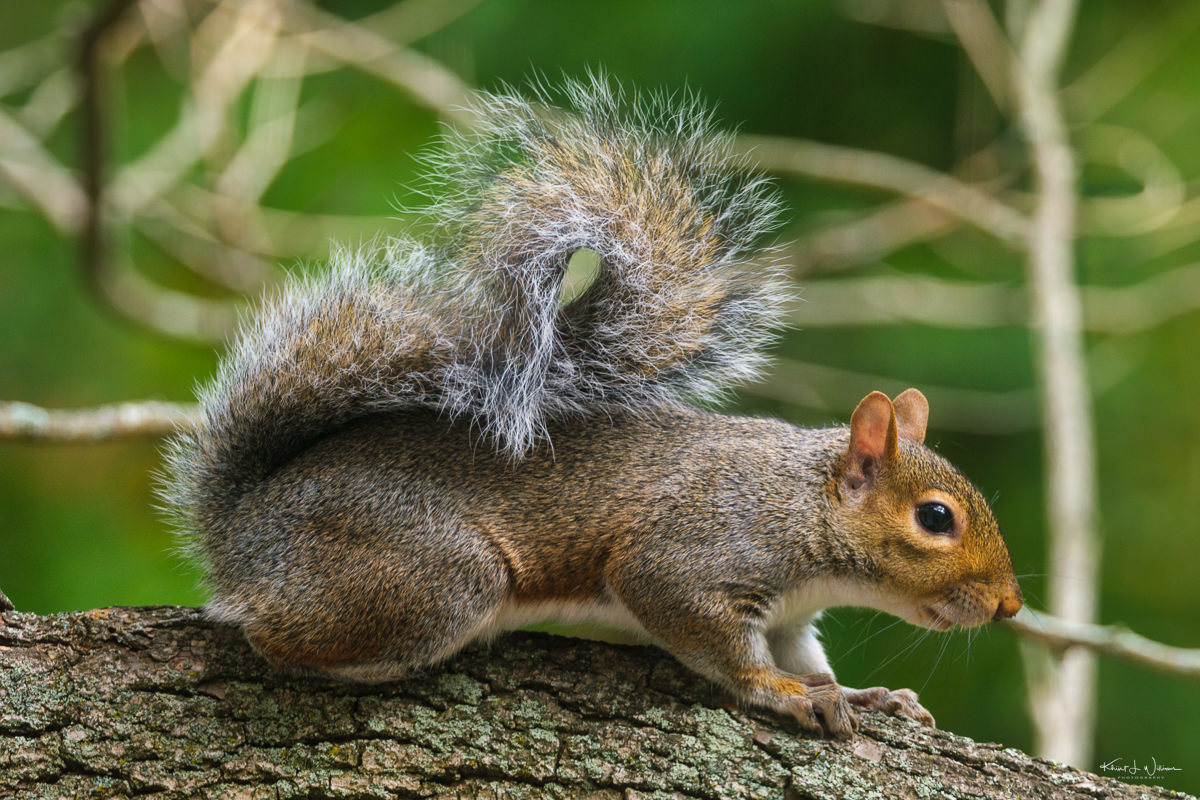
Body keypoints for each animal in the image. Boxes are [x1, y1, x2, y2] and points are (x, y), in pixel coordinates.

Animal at [162, 76, 1022, 739]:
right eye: (936, 518)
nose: (1010, 606)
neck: (801, 507)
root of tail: (244, 531)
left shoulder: (790, 617)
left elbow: (808, 659)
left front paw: (862, 694)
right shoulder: (692, 554)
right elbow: (716, 640)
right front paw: (780, 694)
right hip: (435, 577)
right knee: (273, 636)